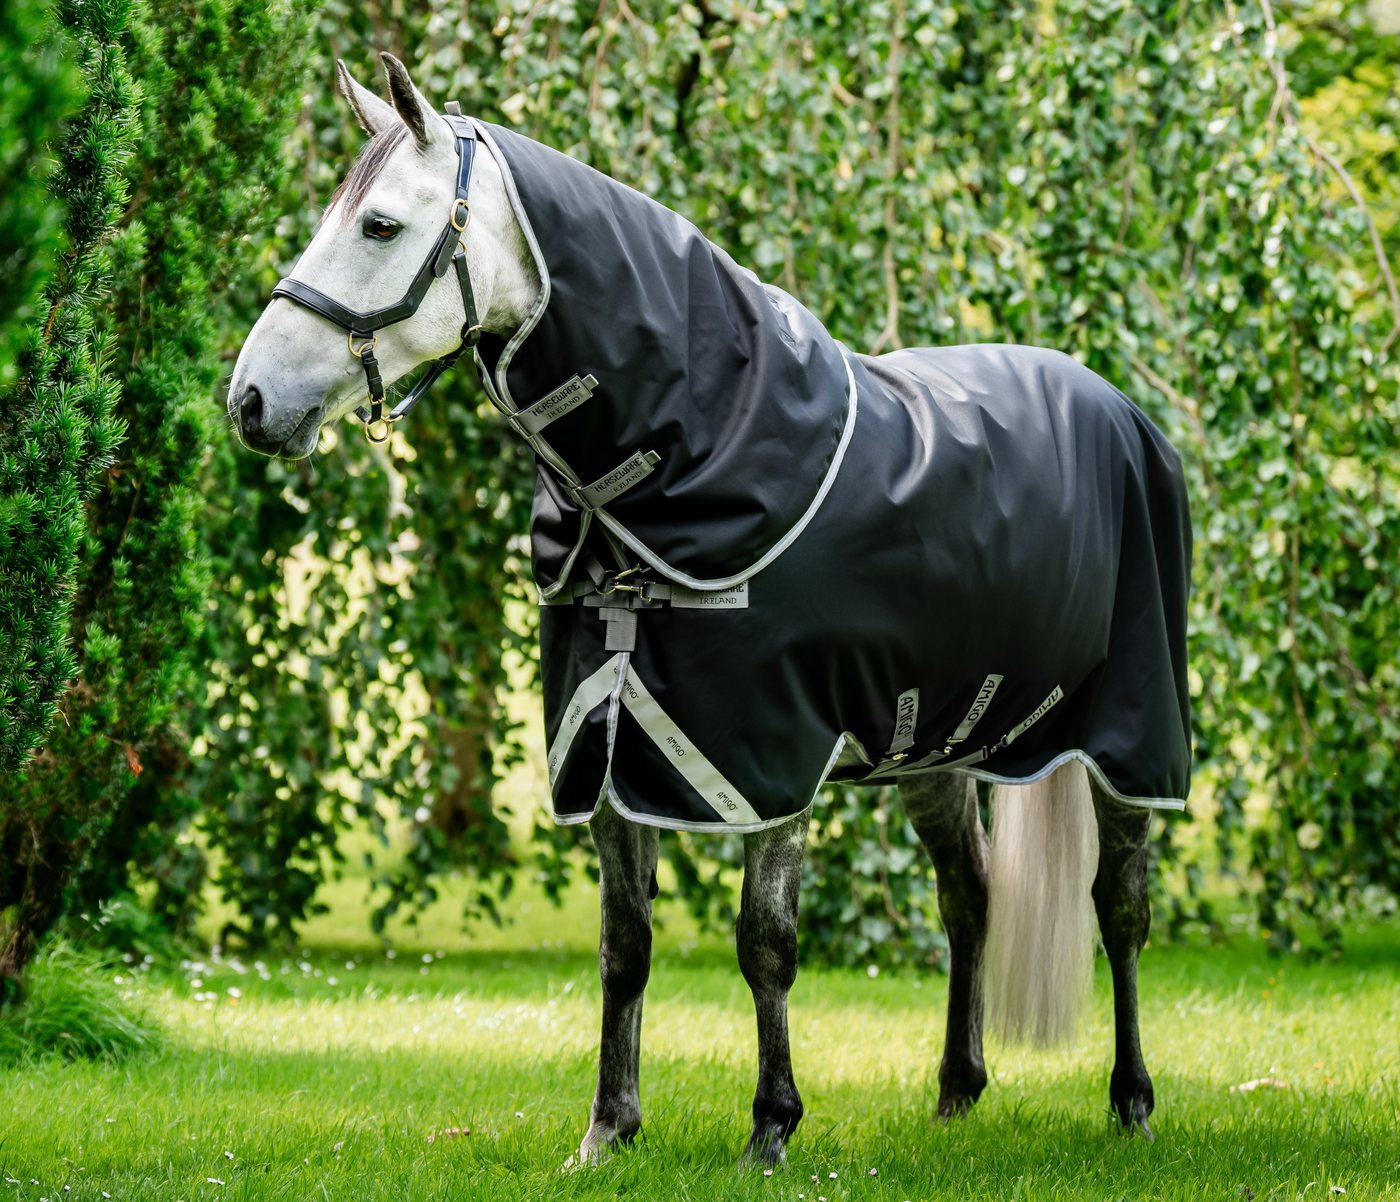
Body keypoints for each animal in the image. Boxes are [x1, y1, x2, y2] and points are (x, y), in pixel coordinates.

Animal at [228, 53, 1192, 1167]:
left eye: (381, 226)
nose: (249, 401)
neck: (686, 464)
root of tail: (1118, 409)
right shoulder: (604, 747)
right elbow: (623, 945)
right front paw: (607, 1130)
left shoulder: (772, 762)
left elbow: (764, 943)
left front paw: (771, 1126)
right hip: (934, 747)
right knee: (970, 896)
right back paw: (956, 1092)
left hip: (1128, 737)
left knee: (1119, 908)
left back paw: (1133, 1100)